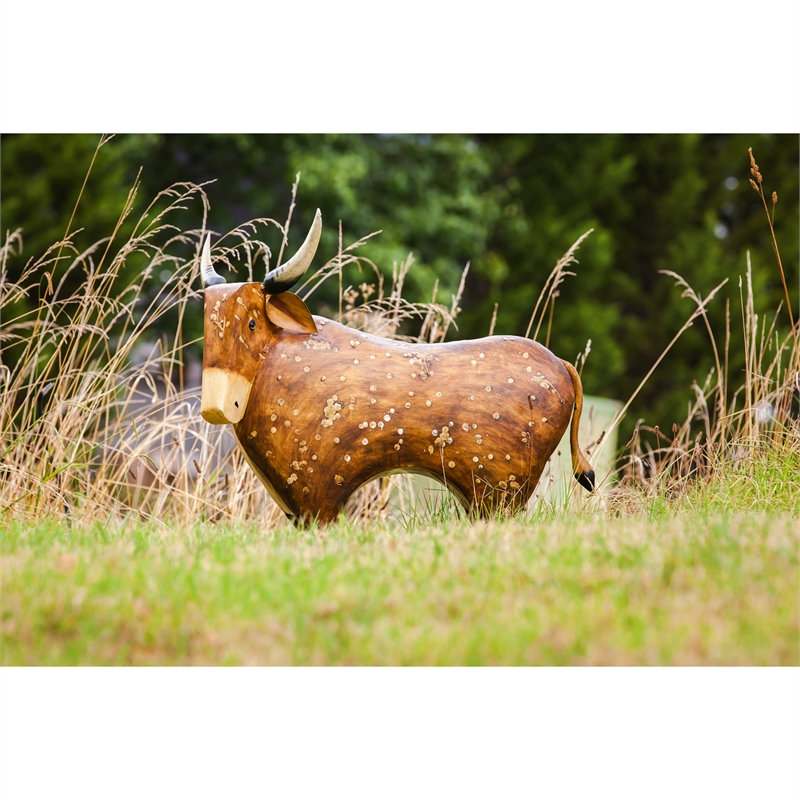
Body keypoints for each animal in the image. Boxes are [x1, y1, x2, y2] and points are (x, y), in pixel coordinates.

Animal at [200, 209, 594, 525]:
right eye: (206, 324)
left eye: (252, 323)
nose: (216, 407)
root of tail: (561, 364)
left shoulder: (317, 491)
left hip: (500, 491)